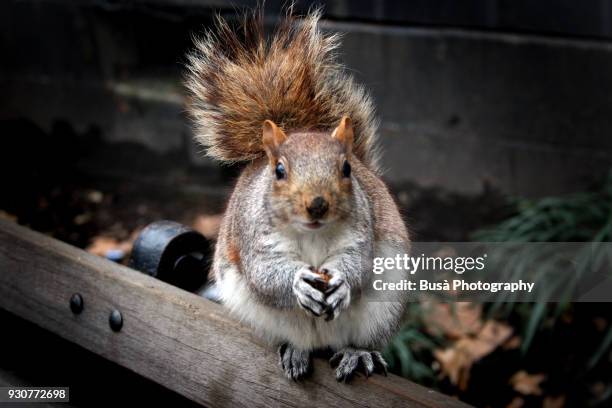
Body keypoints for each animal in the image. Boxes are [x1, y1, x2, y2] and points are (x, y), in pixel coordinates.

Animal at [184, 7, 408, 382]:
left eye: (346, 169)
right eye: (279, 171)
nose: (317, 205)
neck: (312, 235)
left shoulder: (360, 232)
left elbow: (359, 264)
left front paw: (343, 283)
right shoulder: (255, 237)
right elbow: (264, 274)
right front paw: (296, 284)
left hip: (383, 308)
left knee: (357, 339)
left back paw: (356, 353)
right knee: (295, 338)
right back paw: (295, 351)